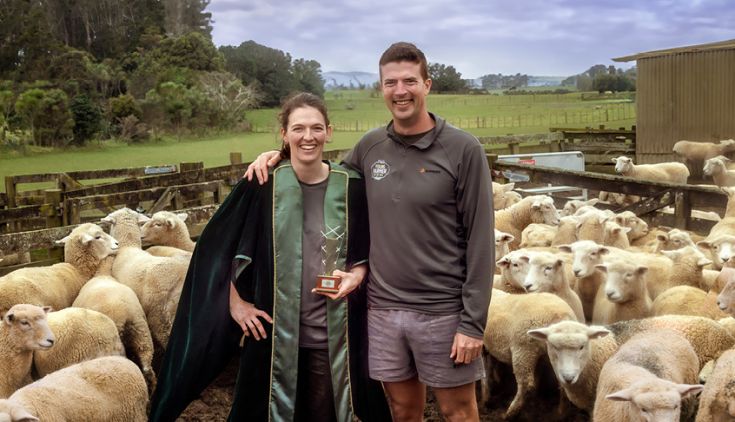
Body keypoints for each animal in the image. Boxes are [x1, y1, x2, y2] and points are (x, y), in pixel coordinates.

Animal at [484, 290, 580, 418]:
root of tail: (563, 316)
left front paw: (485, 398)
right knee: (562, 382)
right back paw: (561, 413)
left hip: (523, 350)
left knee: (526, 384)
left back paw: (510, 412)